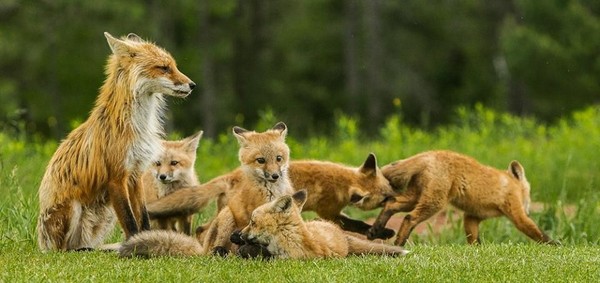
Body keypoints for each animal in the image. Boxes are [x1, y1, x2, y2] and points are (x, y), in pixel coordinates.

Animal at [36, 32, 195, 252]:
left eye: (174, 66)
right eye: (164, 68)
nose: (192, 85)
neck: (136, 127)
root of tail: (42, 243)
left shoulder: (136, 174)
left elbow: (143, 218)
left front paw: (148, 240)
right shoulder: (117, 177)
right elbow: (130, 221)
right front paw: (136, 246)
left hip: (106, 214)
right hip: (73, 208)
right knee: (64, 249)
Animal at [366, 151, 556, 246]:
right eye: (528, 195)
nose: (529, 209)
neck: (510, 183)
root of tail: (428, 154)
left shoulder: (472, 217)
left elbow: (474, 241)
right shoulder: (516, 212)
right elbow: (538, 233)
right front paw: (555, 246)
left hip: (414, 198)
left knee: (391, 204)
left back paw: (376, 230)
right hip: (434, 203)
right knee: (409, 218)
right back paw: (398, 244)